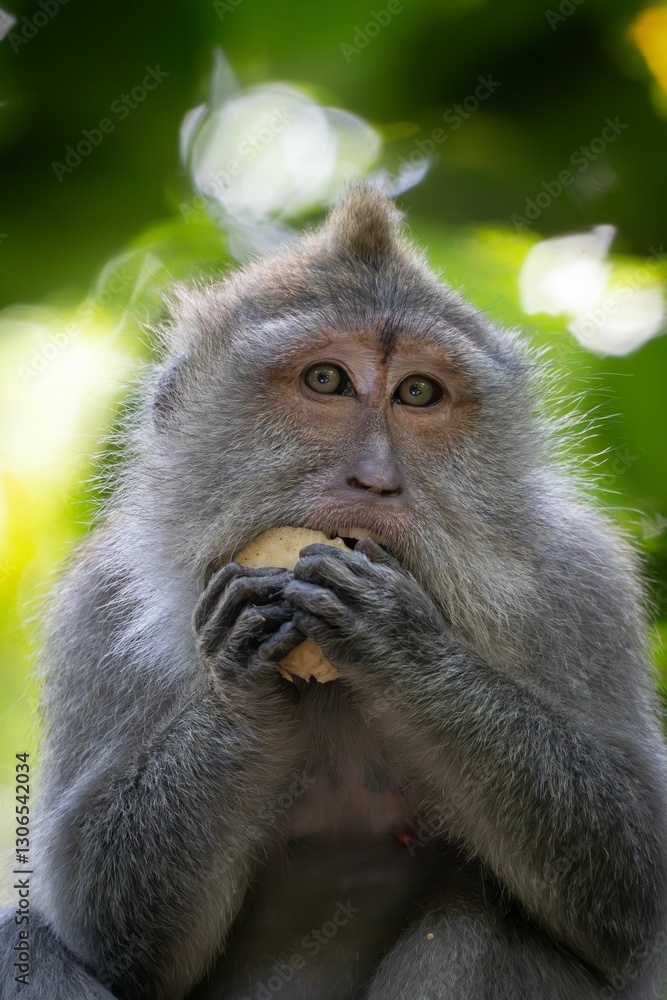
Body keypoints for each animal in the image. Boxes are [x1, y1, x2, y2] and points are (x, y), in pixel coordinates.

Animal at [1, 184, 667, 1000]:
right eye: (326, 380)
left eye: (417, 392)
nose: (376, 479)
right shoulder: (95, 611)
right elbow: (107, 927)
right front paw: (242, 682)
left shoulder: (580, 582)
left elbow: (632, 877)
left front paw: (402, 647)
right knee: (26, 938)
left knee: (479, 929)